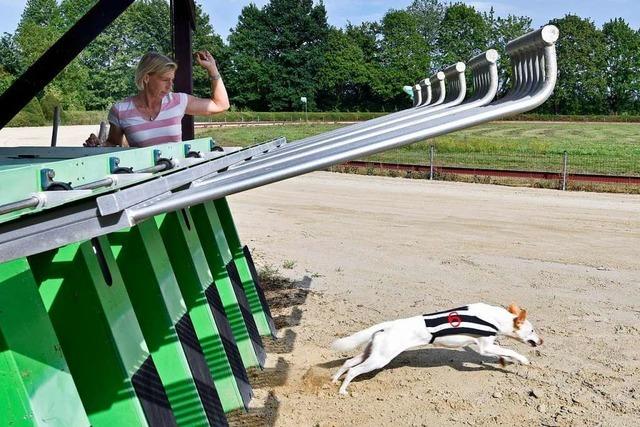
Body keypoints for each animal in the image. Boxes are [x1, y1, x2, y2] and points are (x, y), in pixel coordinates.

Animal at [330, 302, 544, 396]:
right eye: (532, 330)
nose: (541, 341)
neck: (495, 318)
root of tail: (387, 325)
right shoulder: (485, 346)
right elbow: (511, 351)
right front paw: (523, 360)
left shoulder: (488, 345)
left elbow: (503, 352)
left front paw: (505, 361)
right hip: (379, 360)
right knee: (353, 370)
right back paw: (342, 389)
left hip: (372, 353)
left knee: (348, 362)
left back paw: (333, 380)